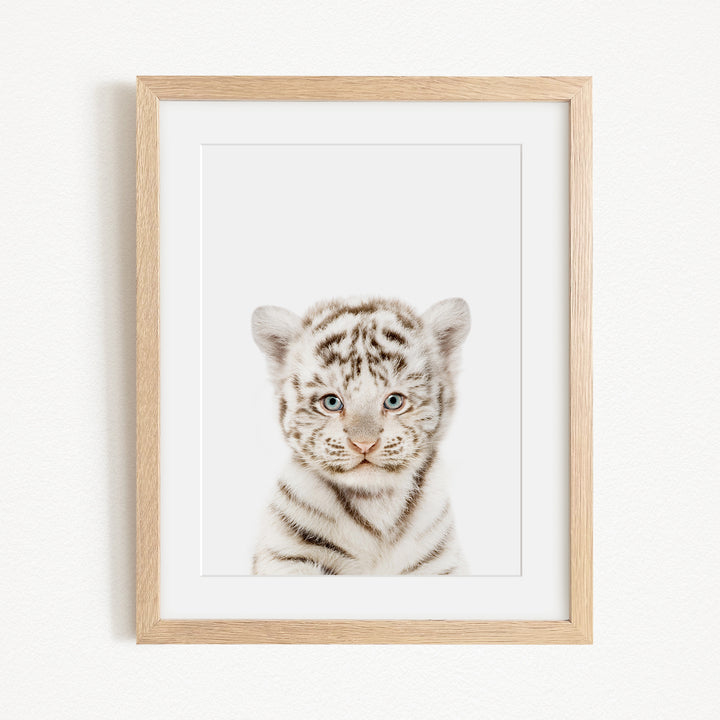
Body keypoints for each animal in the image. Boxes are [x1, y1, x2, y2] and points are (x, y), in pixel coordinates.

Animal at [250, 296, 471, 576]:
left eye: (394, 401)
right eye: (332, 402)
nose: (364, 444)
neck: (376, 503)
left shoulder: (441, 562)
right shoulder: (287, 555)